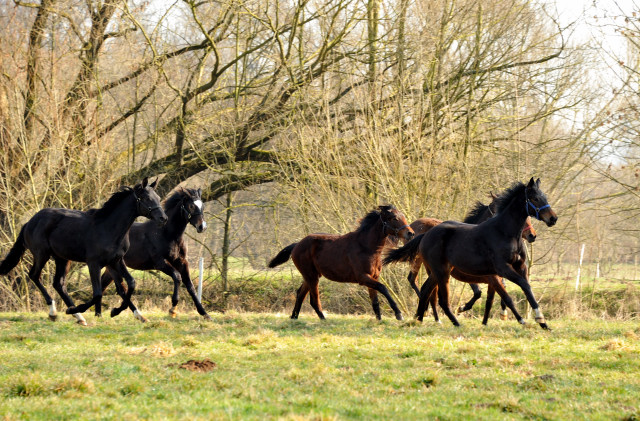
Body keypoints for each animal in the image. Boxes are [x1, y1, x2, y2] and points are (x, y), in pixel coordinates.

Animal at [0, 176, 168, 322]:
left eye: (158, 198)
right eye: (146, 198)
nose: (163, 218)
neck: (109, 229)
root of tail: (29, 222)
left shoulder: (116, 261)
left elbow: (129, 284)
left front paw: (121, 312)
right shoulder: (93, 263)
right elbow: (98, 293)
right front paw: (81, 310)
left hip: (62, 258)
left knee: (58, 283)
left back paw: (79, 317)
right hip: (42, 254)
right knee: (34, 275)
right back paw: (56, 311)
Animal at [100, 187, 210, 318]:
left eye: (202, 205)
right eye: (191, 206)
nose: (202, 227)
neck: (168, 234)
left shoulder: (181, 262)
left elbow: (190, 286)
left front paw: (204, 313)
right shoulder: (160, 263)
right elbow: (177, 277)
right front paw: (173, 308)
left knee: (104, 285)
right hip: (112, 265)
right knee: (120, 289)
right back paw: (132, 314)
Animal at [266, 205, 412, 320]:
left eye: (403, 216)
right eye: (394, 218)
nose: (410, 233)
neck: (366, 247)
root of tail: (297, 245)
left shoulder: (373, 277)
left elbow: (375, 301)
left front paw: (379, 320)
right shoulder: (363, 278)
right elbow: (383, 288)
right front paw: (399, 314)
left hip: (311, 276)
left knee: (300, 294)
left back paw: (294, 318)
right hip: (311, 276)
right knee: (314, 300)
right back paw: (323, 319)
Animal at [382, 177, 556, 328]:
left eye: (544, 197)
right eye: (535, 198)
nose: (553, 219)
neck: (505, 232)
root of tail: (426, 234)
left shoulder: (519, 267)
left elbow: (524, 289)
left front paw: (542, 323)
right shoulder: (501, 270)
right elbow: (515, 291)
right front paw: (534, 319)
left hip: (438, 271)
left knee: (426, 290)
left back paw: (419, 319)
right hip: (441, 271)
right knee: (440, 298)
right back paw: (453, 322)